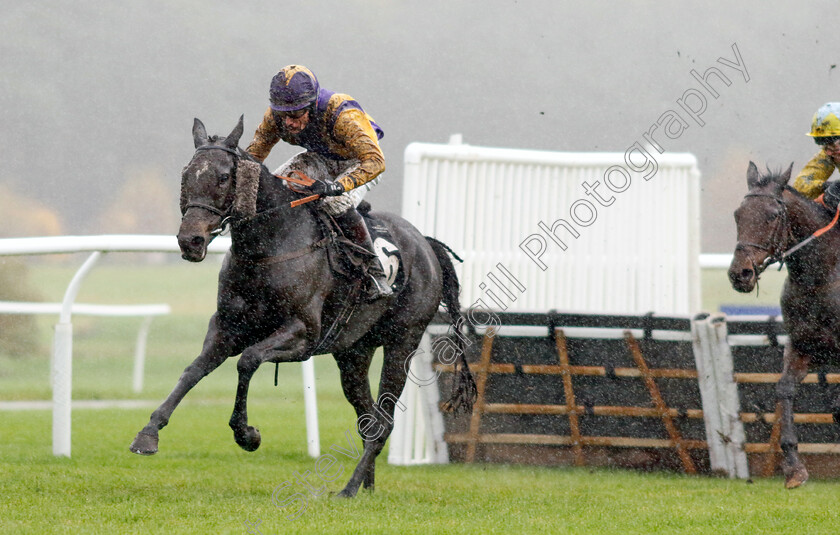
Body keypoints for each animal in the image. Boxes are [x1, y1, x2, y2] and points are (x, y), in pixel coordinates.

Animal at [129, 116, 476, 498]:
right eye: (186, 174)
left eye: (222, 177)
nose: (190, 240)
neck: (269, 244)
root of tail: (426, 244)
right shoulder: (227, 327)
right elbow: (193, 370)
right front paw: (148, 433)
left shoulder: (303, 334)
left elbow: (248, 360)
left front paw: (247, 434)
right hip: (354, 353)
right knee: (367, 418)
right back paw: (365, 486)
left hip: (403, 342)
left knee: (384, 421)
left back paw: (349, 488)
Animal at [728, 161, 840, 488]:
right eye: (738, 214)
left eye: (772, 215)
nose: (740, 274)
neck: (821, 274)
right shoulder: (802, 344)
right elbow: (785, 389)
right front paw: (793, 467)